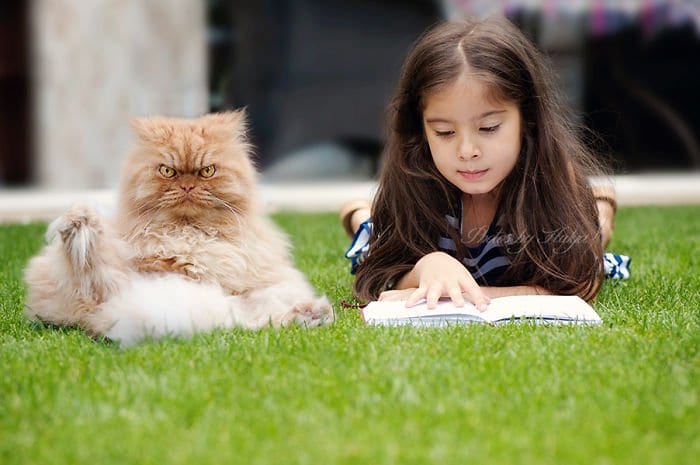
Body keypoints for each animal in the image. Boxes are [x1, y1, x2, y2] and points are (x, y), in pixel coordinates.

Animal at [23, 110, 334, 346]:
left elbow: (260, 307)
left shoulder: (253, 286)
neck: (188, 234)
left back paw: (314, 313)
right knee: (92, 271)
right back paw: (78, 223)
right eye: (167, 171)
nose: (187, 186)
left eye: (207, 171)